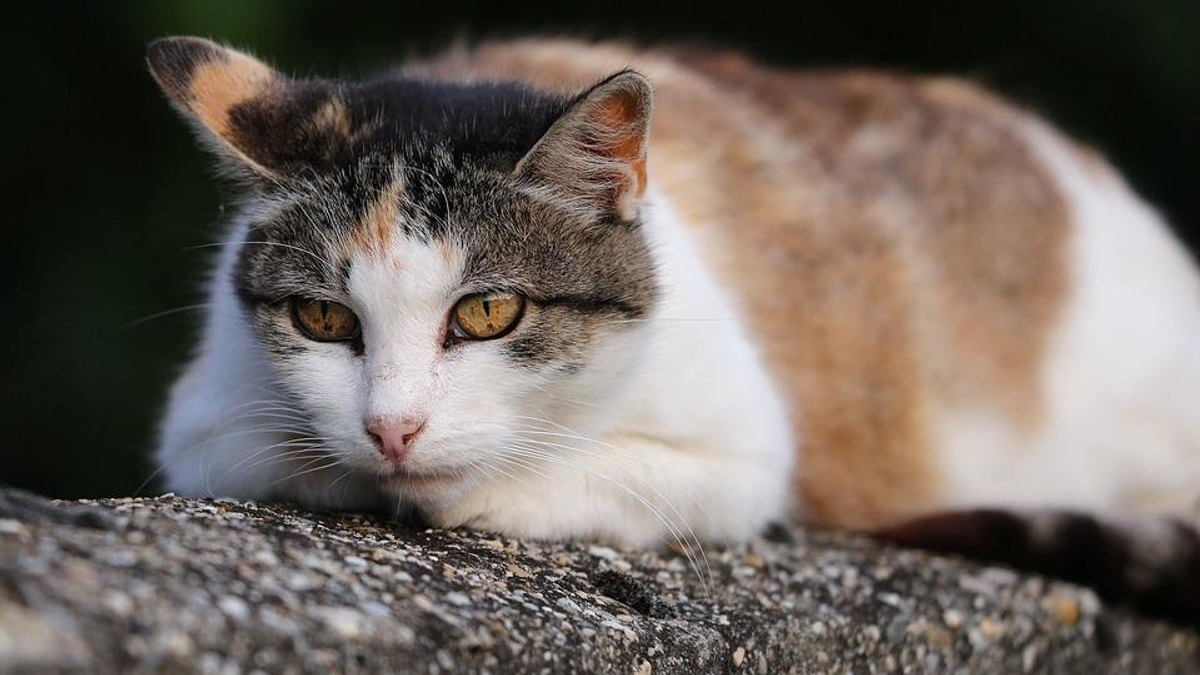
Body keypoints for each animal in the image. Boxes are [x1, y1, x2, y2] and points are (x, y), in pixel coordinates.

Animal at [150, 35, 1200, 619]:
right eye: (323, 318)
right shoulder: (205, 420)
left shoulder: (746, 452)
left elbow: (580, 475)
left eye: (488, 312)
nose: (392, 427)